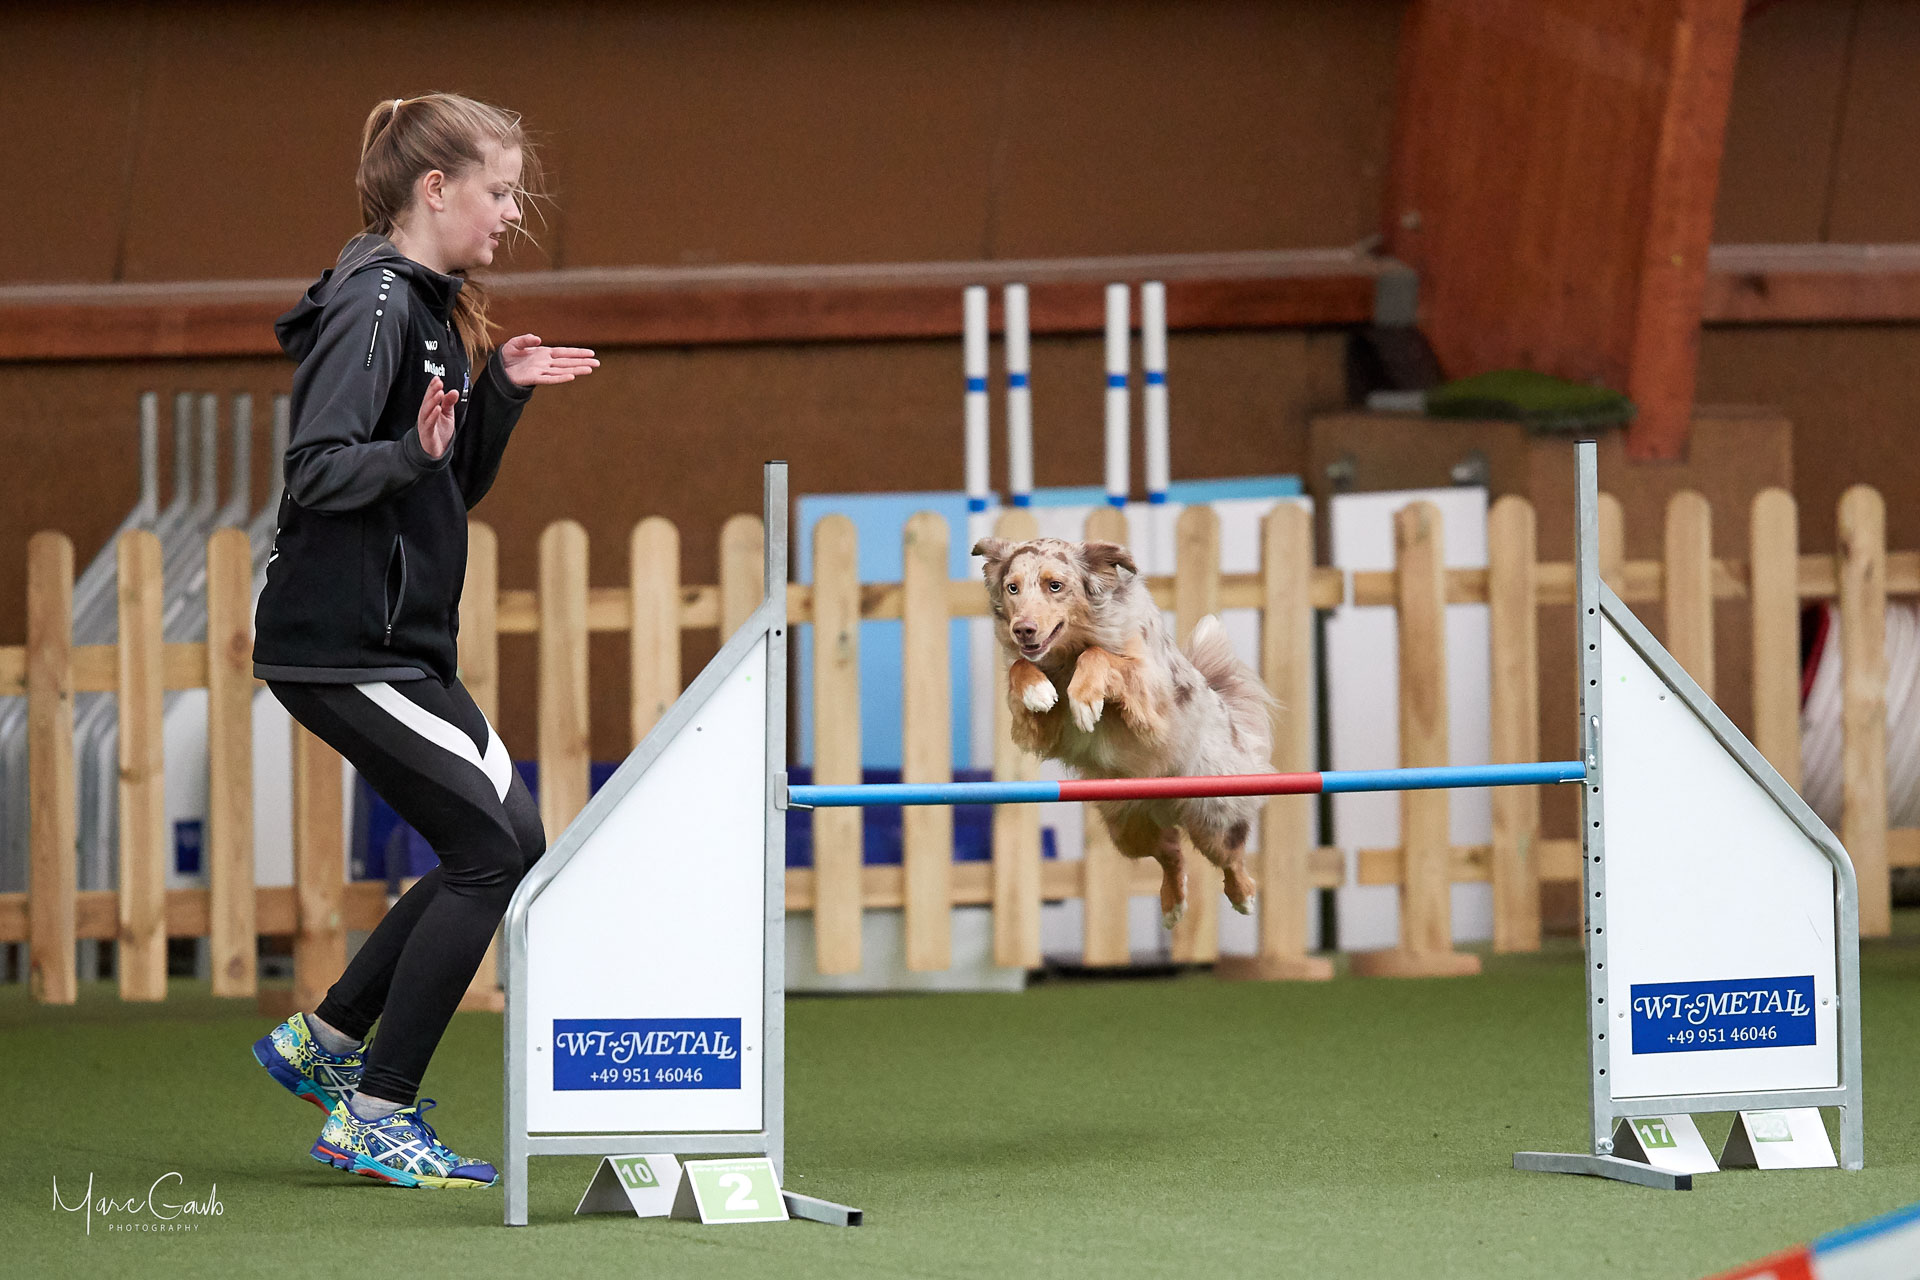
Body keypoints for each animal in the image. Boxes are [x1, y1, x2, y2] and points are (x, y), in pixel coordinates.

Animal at [971, 535, 1276, 928]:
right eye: (1013, 588)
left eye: (1055, 586)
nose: (1023, 629)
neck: (1069, 651)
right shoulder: (1044, 727)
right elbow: (1021, 668)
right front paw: (1037, 689)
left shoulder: (1151, 692)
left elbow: (1101, 657)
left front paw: (1085, 697)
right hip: (1128, 825)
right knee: (1170, 850)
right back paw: (1172, 904)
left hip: (1213, 814)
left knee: (1230, 856)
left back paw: (1244, 896)